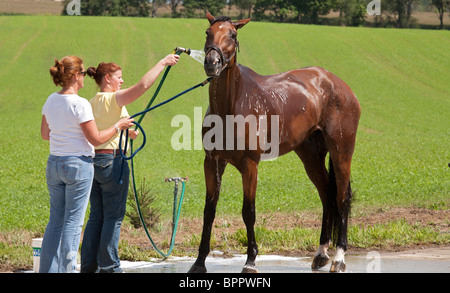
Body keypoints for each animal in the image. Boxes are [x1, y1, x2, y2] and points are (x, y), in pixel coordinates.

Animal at [187, 11, 362, 272]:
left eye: (233, 34)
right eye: (208, 32)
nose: (211, 62)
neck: (232, 105)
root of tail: (337, 84)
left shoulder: (250, 165)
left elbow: (248, 212)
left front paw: (250, 261)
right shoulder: (213, 162)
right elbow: (209, 210)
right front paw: (199, 262)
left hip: (341, 152)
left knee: (342, 197)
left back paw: (339, 257)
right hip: (311, 157)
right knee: (327, 196)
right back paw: (321, 253)